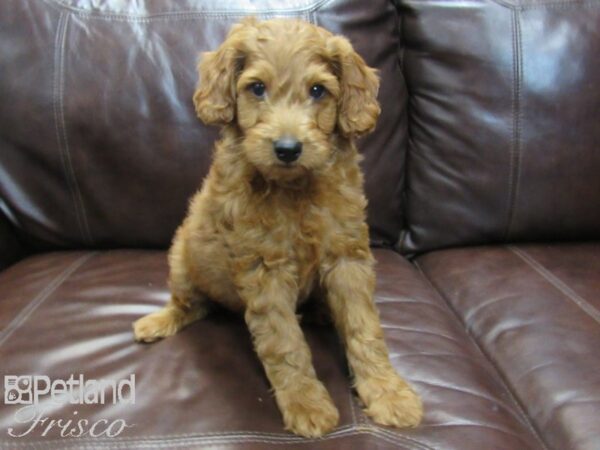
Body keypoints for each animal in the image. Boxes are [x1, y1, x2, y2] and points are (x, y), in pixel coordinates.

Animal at [134, 16, 422, 436]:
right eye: (257, 88)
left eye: (318, 90)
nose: (287, 149)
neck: (295, 188)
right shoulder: (264, 268)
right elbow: (285, 341)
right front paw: (306, 403)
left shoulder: (347, 256)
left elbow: (364, 328)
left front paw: (388, 393)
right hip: (183, 260)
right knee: (192, 304)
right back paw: (159, 320)